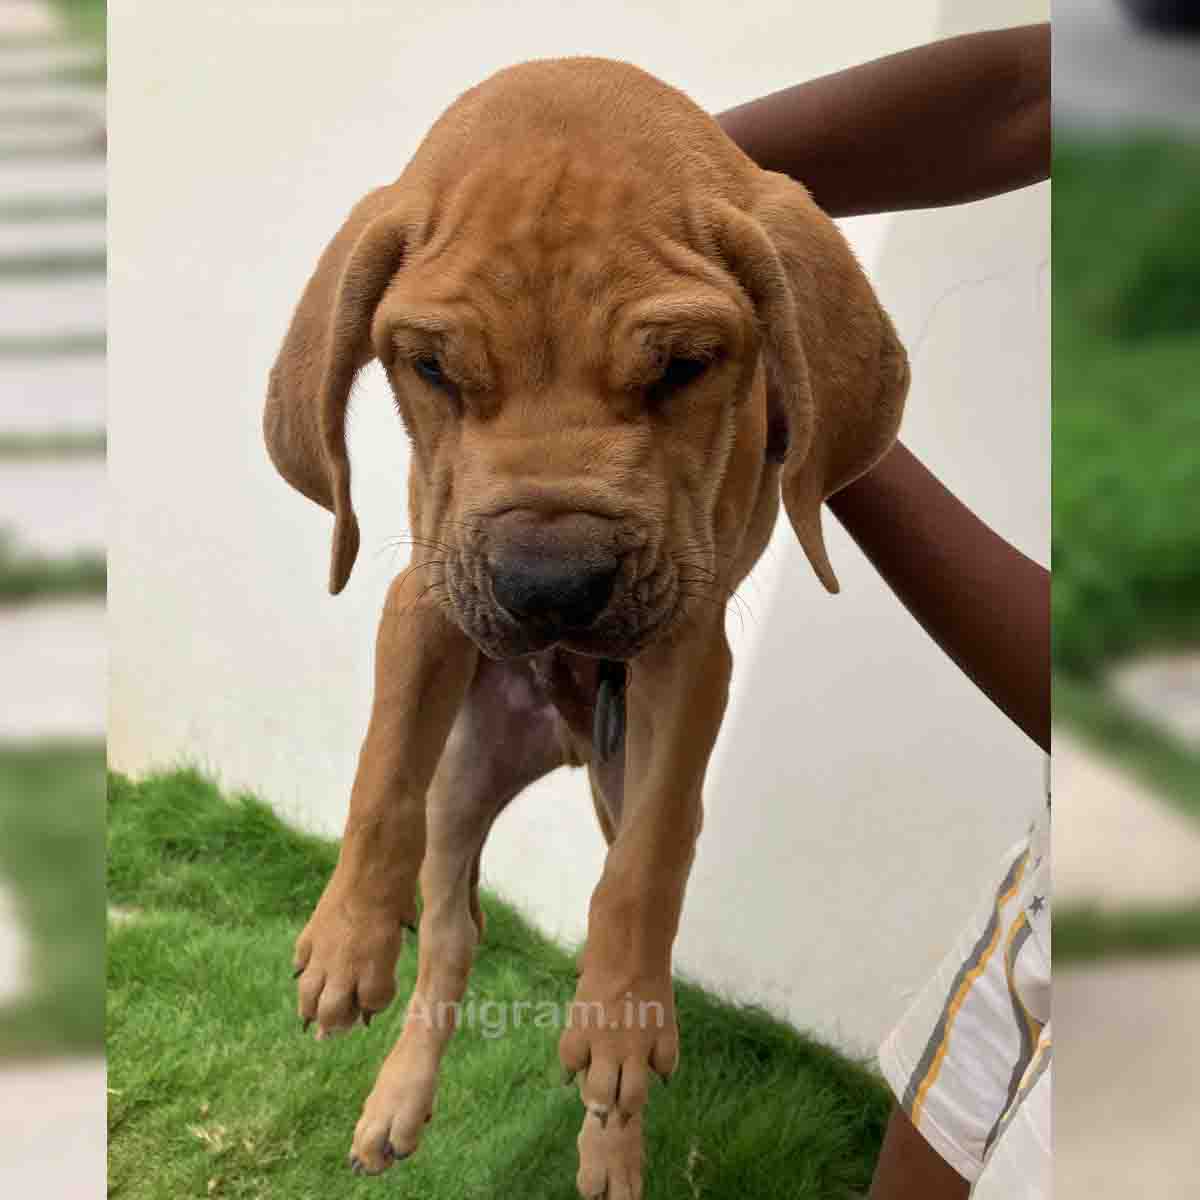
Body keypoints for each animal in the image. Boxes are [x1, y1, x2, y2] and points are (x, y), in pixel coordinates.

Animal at [265, 56, 907, 1198]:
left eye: (686, 366)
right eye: (431, 369)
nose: (550, 592)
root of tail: (561, 735)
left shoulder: (688, 651)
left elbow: (640, 872)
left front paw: (615, 1028)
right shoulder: (422, 599)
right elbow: (380, 775)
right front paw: (342, 942)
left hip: (626, 764)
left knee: (635, 876)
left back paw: (614, 1135)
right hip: (463, 776)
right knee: (453, 931)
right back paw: (396, 1101)